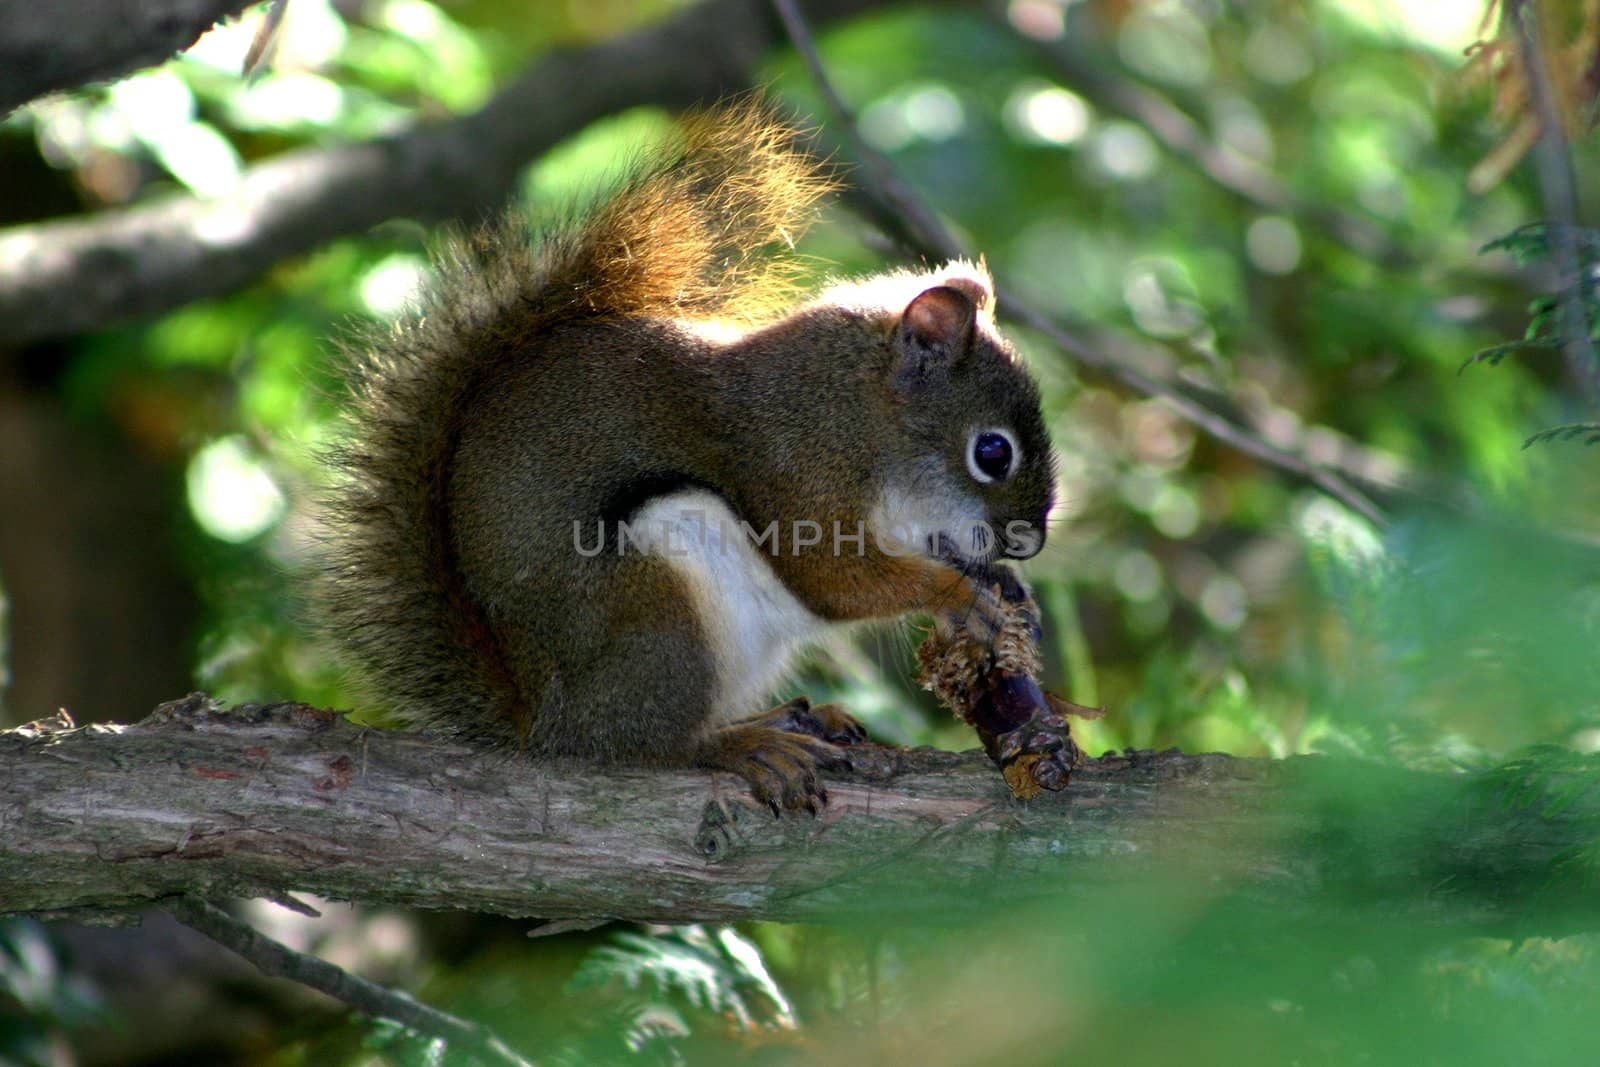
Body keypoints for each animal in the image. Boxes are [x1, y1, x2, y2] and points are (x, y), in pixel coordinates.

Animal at [318, 103, 1056, 812]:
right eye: (993, 452)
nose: (1030, 542)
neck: (863, 413)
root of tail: (545, 723)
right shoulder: (797, 468)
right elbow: (831, 577)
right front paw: (958, 593)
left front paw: (1005, 586)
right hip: (659, 603)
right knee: (647, 743)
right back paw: (742, 744)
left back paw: (784, 719)